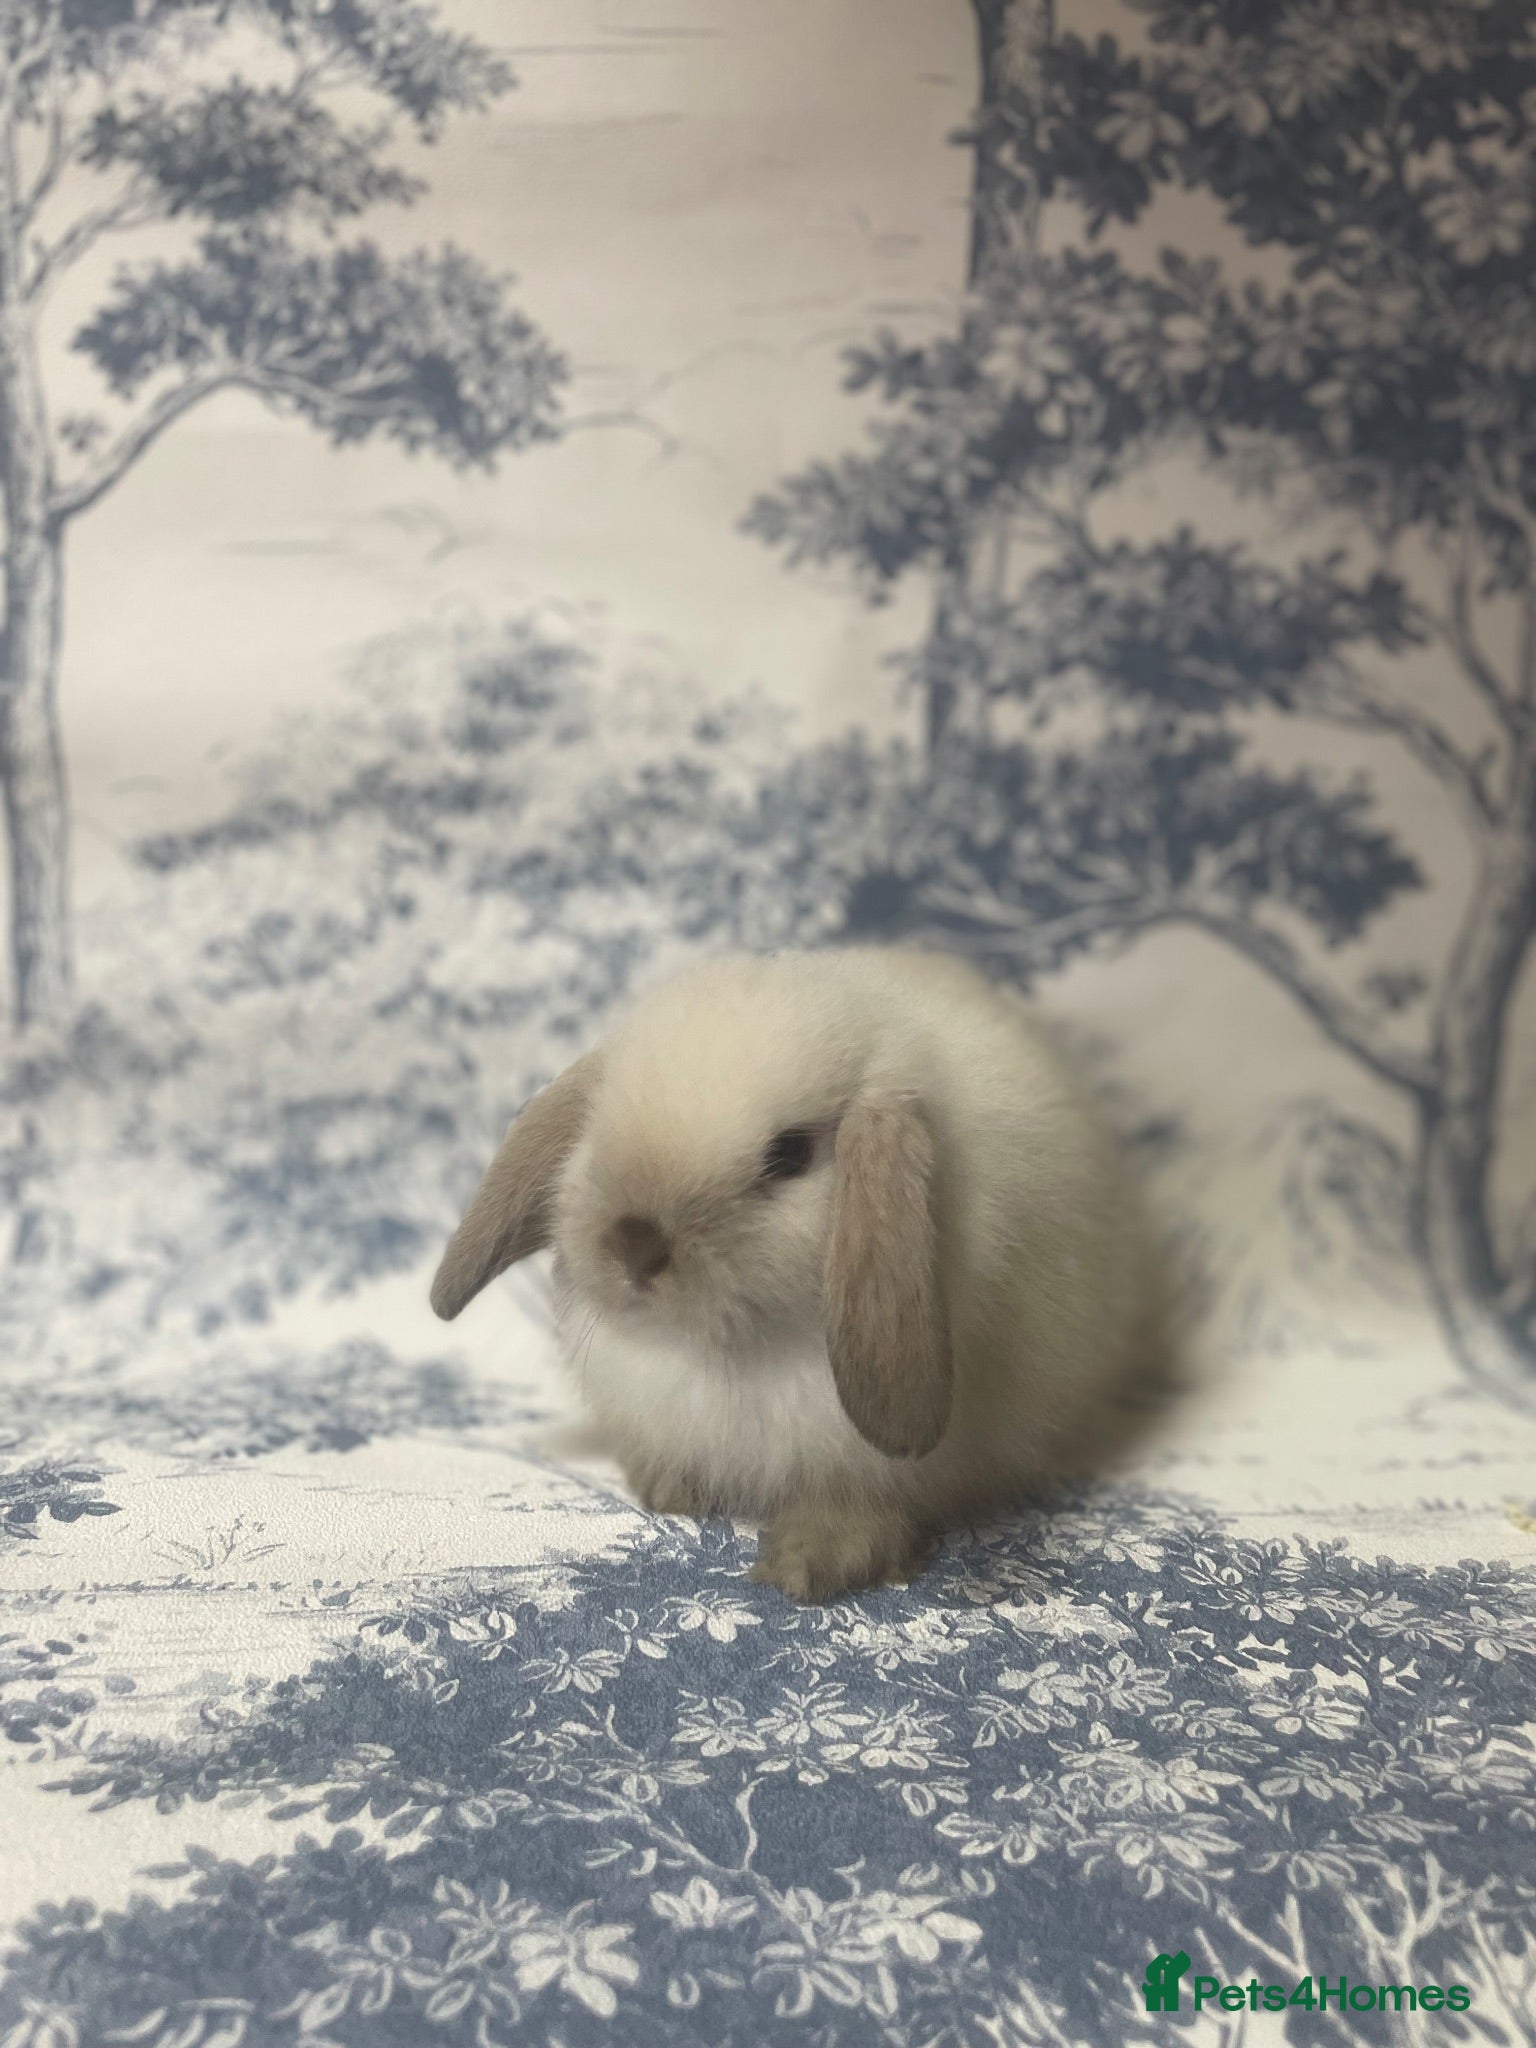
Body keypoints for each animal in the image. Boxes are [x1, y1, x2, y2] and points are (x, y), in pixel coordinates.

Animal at [430, 947, 1167, 1601]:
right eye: (597, 1123)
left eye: (788, 1156)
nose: (634, 1245)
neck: (734, 1352)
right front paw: (666, 1489)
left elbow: (858, 1504)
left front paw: (812, 1564)